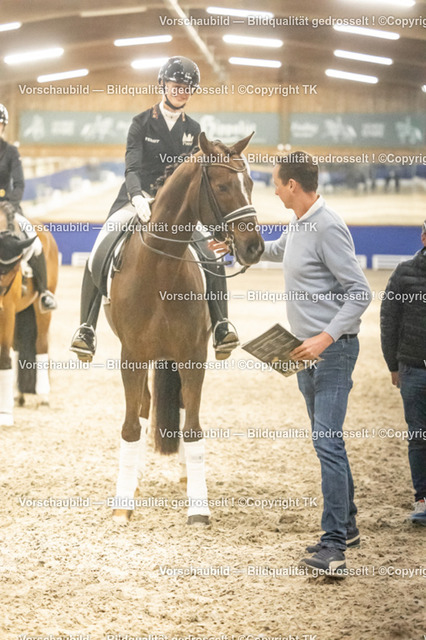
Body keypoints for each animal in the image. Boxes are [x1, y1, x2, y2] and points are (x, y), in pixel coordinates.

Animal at [0, 203, 59, 425]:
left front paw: (5, 415)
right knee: (17, 348)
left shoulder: (7, 311)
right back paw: (17, 396)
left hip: (39, 308)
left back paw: (43, 397)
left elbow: (3, 357)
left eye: (11, 270)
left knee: (40, 344)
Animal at [104, 132, 264, 525]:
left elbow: (192, 429)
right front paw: (122, 506)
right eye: (222, 187)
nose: (254, 247)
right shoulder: (132, 356)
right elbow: (131, 426)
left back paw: (184, 478)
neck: (161, 266)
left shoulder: (193, 356)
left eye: (251, 185)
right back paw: (135, 482)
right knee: (143, 410)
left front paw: (199, 508)